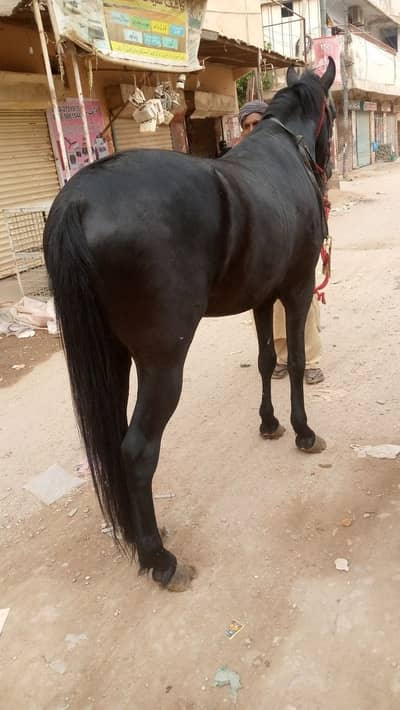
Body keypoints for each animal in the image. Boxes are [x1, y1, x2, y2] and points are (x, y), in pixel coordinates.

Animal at [44, 58, 336, 592]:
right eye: (334, 112)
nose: (328, 167)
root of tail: (78, 200)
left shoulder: (261, 298)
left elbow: (266, 359)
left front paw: (269, 423)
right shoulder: (297, 289)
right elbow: (296, 359)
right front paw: (303, 431)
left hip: (111, 357)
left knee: (114, 441)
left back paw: (139, 536)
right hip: (163, 363)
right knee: (137, 449)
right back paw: (160, 558)